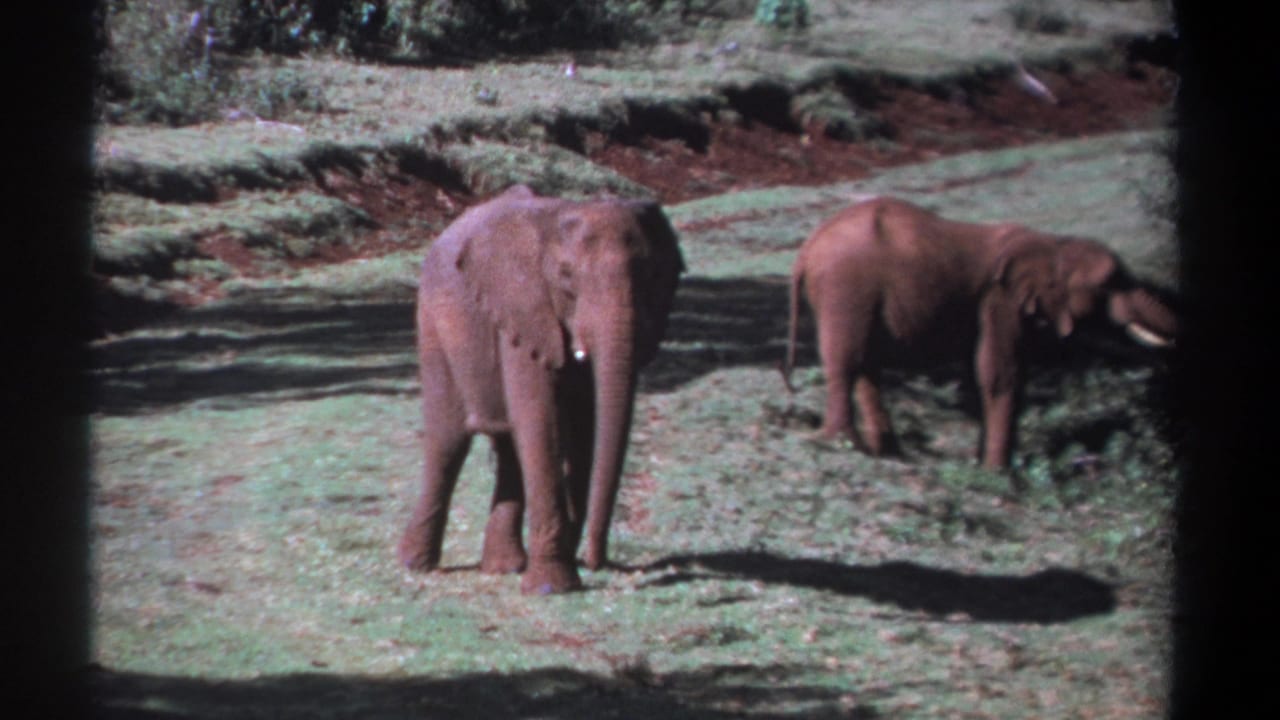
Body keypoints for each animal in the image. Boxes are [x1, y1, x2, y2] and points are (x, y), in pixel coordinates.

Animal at [398, 185, 685, 595]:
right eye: (565, 276)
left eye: (649, 274)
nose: (594, 562)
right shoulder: (523, 308)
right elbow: (542, 422)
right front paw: (554, 587)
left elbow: (583, 425)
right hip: (434, 328)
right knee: (449, 441)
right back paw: (416, 565)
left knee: (508, 447)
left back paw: (503, 567)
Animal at [783, 196, 1176, 470]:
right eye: (1110, 284)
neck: (1052, 246)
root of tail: (808, 248)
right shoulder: (1000, 301)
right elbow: (1000, 374)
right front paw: (999, 475)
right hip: (846, 285)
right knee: (847, 360)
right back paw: (842, 443)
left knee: (867, 362)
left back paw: (888, 453)